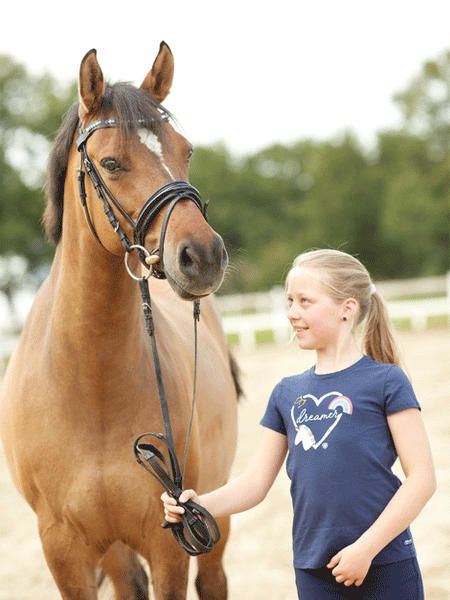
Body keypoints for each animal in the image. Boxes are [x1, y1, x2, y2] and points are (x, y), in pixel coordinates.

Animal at [0, 43, 241, 600]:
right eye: (111, 163)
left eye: (186, 151)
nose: (204, 256)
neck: (91, 384)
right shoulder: (66, 551)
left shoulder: (172, 540)